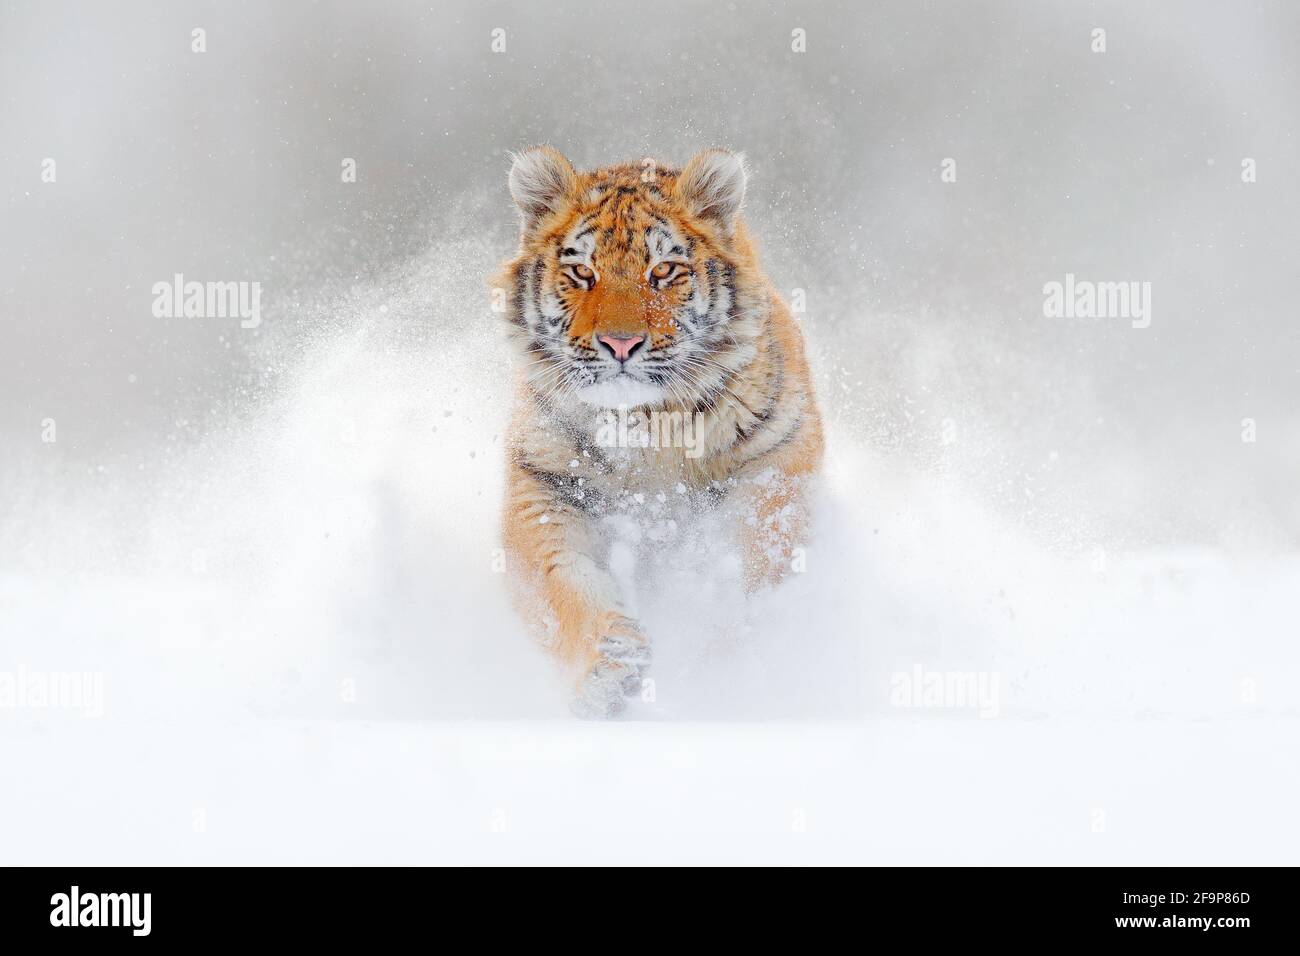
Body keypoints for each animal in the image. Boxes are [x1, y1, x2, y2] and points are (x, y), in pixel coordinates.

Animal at [496, 146, 824, 717]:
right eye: (581, 271)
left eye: (664, 270)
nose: (620, 344)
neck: (647, 427)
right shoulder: (544, 483)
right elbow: (561, 583)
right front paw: (609, 668)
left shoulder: (779, 456)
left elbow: (757, 557)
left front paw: (720, 641)